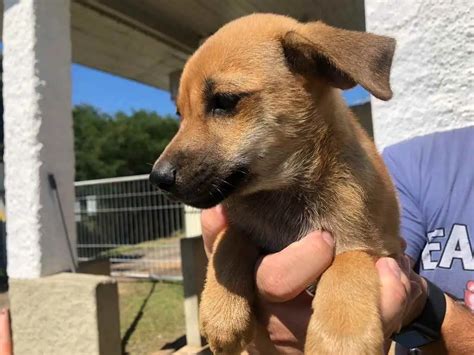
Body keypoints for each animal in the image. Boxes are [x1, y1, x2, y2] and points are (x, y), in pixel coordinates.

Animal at [150, 12, 402, 354]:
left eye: (224, 101)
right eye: (180, 114)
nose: (157, 178)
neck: (284, 192)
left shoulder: (381, 248)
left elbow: (347, 263)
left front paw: (339, 339)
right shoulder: (243, 224)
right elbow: (229, 238)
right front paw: (221, 312)